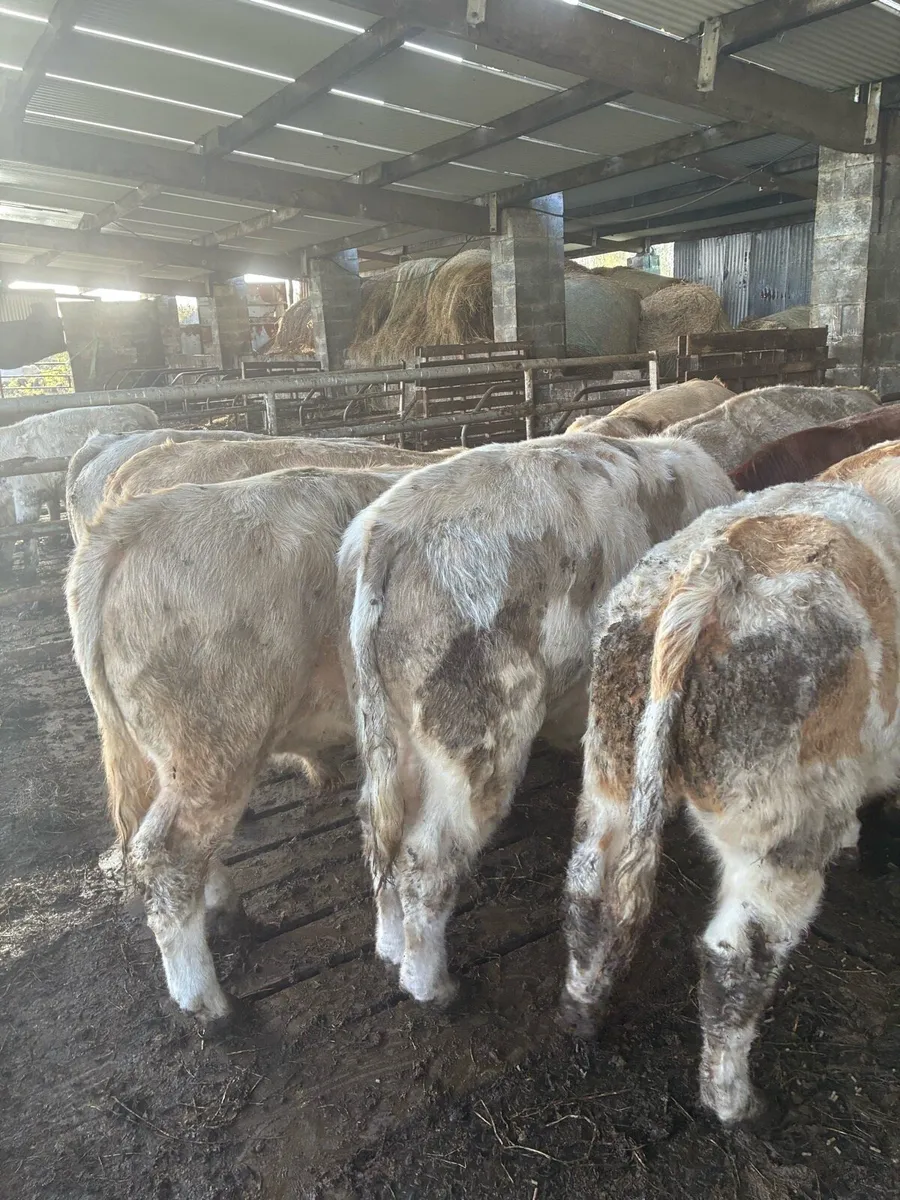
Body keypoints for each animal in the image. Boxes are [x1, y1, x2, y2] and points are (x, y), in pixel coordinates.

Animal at [66, 465, 408, 1026]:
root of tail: (127, 523)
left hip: (161, 755)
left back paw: (223, 909)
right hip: (216, 743)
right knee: (167, 853)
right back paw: (208, 1002)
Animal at [340, 433, 737, 1007]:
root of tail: (387, 530)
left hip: (388, 727)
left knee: (378, 829)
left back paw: (390, 947)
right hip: (480, 729)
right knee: (426, 857)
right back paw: (432, 988)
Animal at [560, 476, 900, 1124]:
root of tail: (715, 569)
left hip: (611, 772)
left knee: (591, 893)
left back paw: (582, 1014)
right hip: (782, 830)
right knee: (736, 957)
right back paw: (735, 1105)